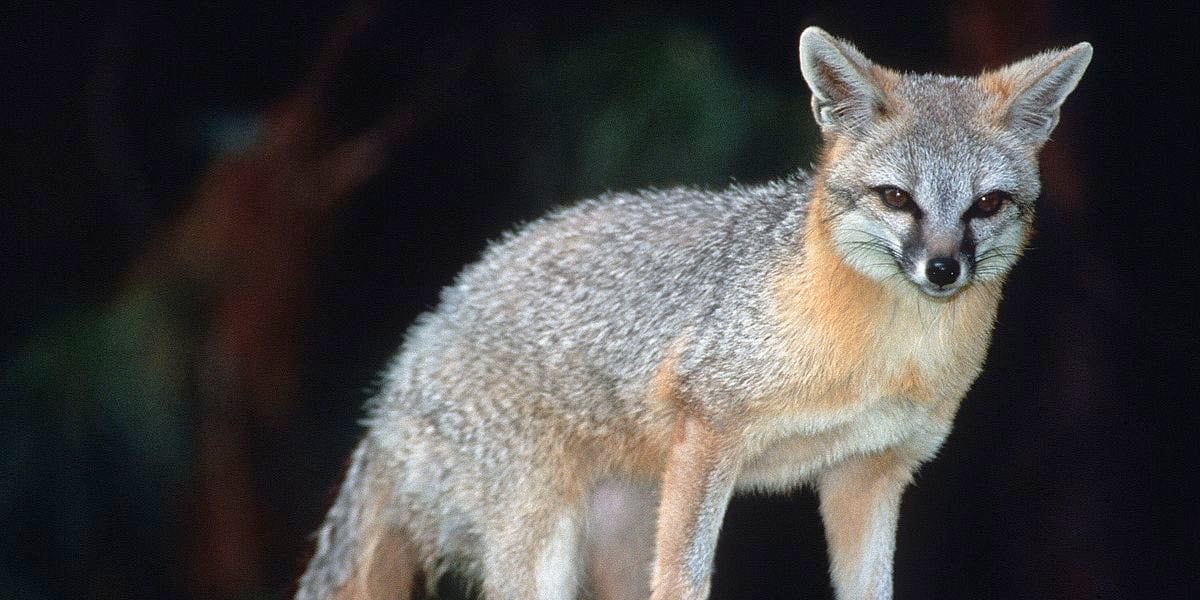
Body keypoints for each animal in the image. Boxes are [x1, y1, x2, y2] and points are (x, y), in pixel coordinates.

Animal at [296, 26, 1092, 600]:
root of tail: (403, 368)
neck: (884, 356)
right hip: (543, 540)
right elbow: (684, 580)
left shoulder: (867, 473)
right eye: (897, 198)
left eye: (987, 205)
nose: (943, 269)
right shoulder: (709, 434)